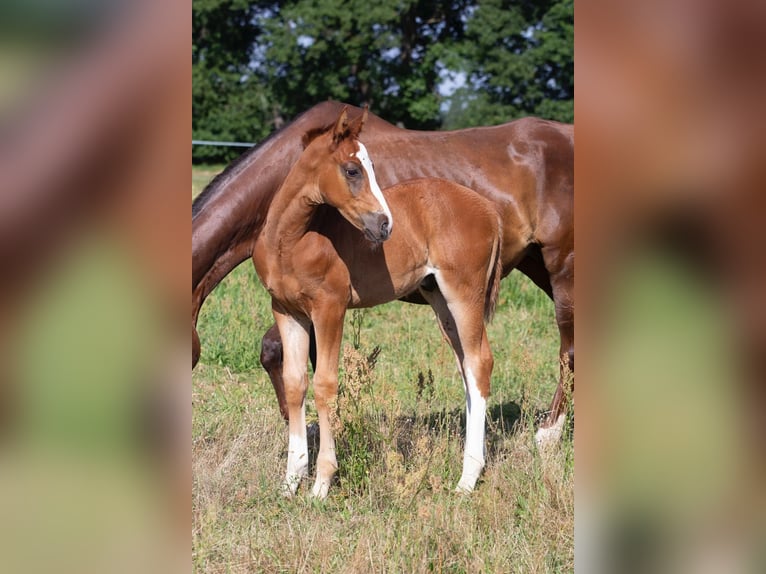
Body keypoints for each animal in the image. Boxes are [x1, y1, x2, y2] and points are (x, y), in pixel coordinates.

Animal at [194, 101, 576, 448]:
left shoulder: (321, 298)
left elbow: (279, 352)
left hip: (562, 267)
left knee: (568, 347)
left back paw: (549, 433)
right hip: (535, 265)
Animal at [252, 109, 504, 500]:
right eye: (352, 170)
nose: (385, 225)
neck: (289, 240)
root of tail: (490, 209)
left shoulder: (329, 309)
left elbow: (325, 385)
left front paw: (321, 484)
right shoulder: (286, 311)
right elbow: (295, 384)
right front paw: (290, 482)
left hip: (464, 294)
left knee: (479, 362)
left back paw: (467, 478)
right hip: (439, 299)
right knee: (466, 365)